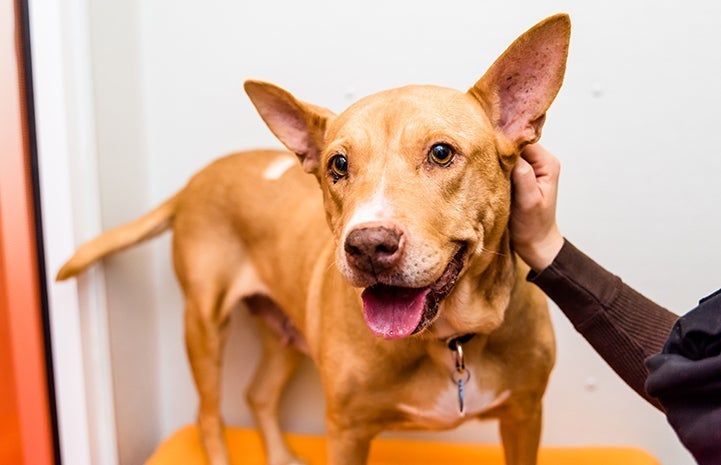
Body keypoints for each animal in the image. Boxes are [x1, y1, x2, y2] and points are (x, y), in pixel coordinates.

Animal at [57, 13, 568, 464]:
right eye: (337, 165)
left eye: (441, 152)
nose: (368, 246)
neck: (451, 341)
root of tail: (195, 180)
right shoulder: (346, 430)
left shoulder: (525, 417)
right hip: (203, 325)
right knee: (209, 417)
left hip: (282, 330)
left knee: (258, 395)